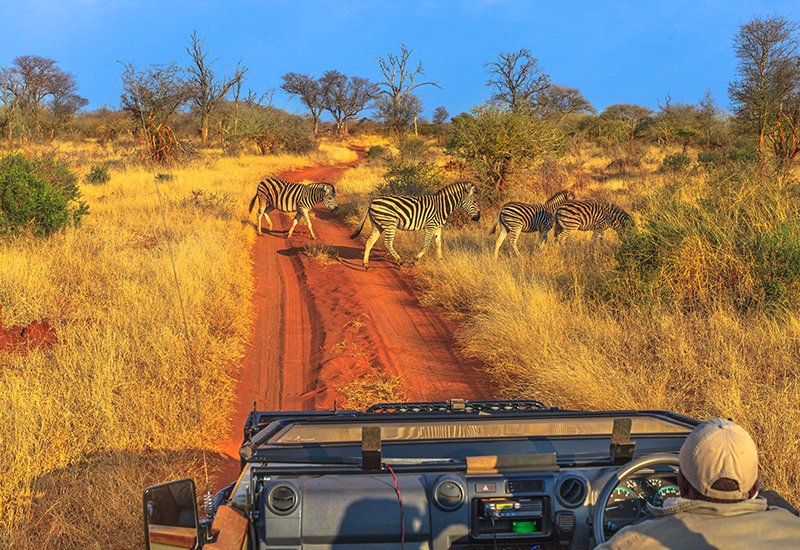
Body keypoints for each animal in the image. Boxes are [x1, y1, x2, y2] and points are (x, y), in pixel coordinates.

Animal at [346, 182, 478, 270]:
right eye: (475, 201)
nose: (478, 217)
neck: (442, 207)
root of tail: (372, 201)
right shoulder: (430, 225)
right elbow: (427, 244)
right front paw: (415, 260)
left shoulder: (438, 227)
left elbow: (438, 243)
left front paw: (441, 260)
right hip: (390, 223)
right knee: (387, 243)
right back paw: (400, 261)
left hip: (377, 225)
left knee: (370, 241)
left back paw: (366, 264)